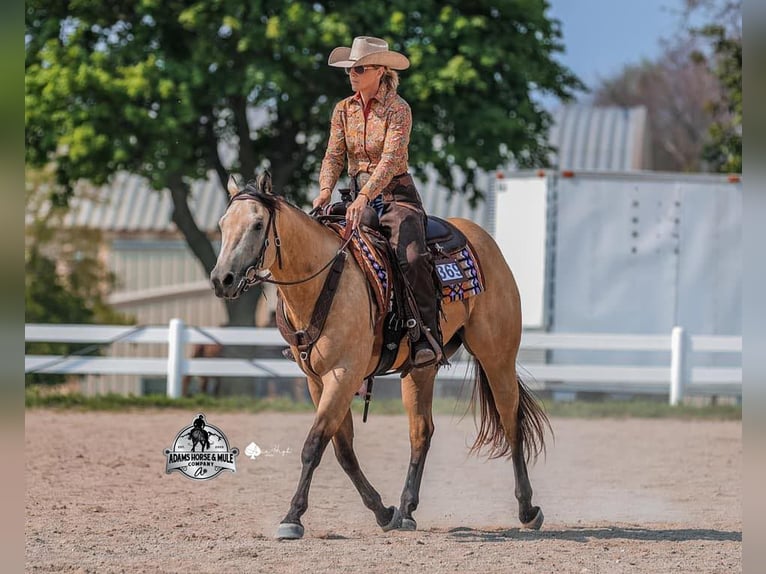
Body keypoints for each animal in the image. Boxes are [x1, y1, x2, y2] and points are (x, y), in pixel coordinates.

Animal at [210, 171, 551, 539]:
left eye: (258, 224)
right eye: (223, 224)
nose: (222, 279)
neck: (323, 280)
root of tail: (483, 240)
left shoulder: (344, 375)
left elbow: (314, 445)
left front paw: (292, 517)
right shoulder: (317, 380)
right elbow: (343, 450)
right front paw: (383, 511)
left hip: (497, 356)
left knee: (511, 421)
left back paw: (527, 509)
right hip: (421, 369)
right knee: (421, 432)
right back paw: (407, 510)